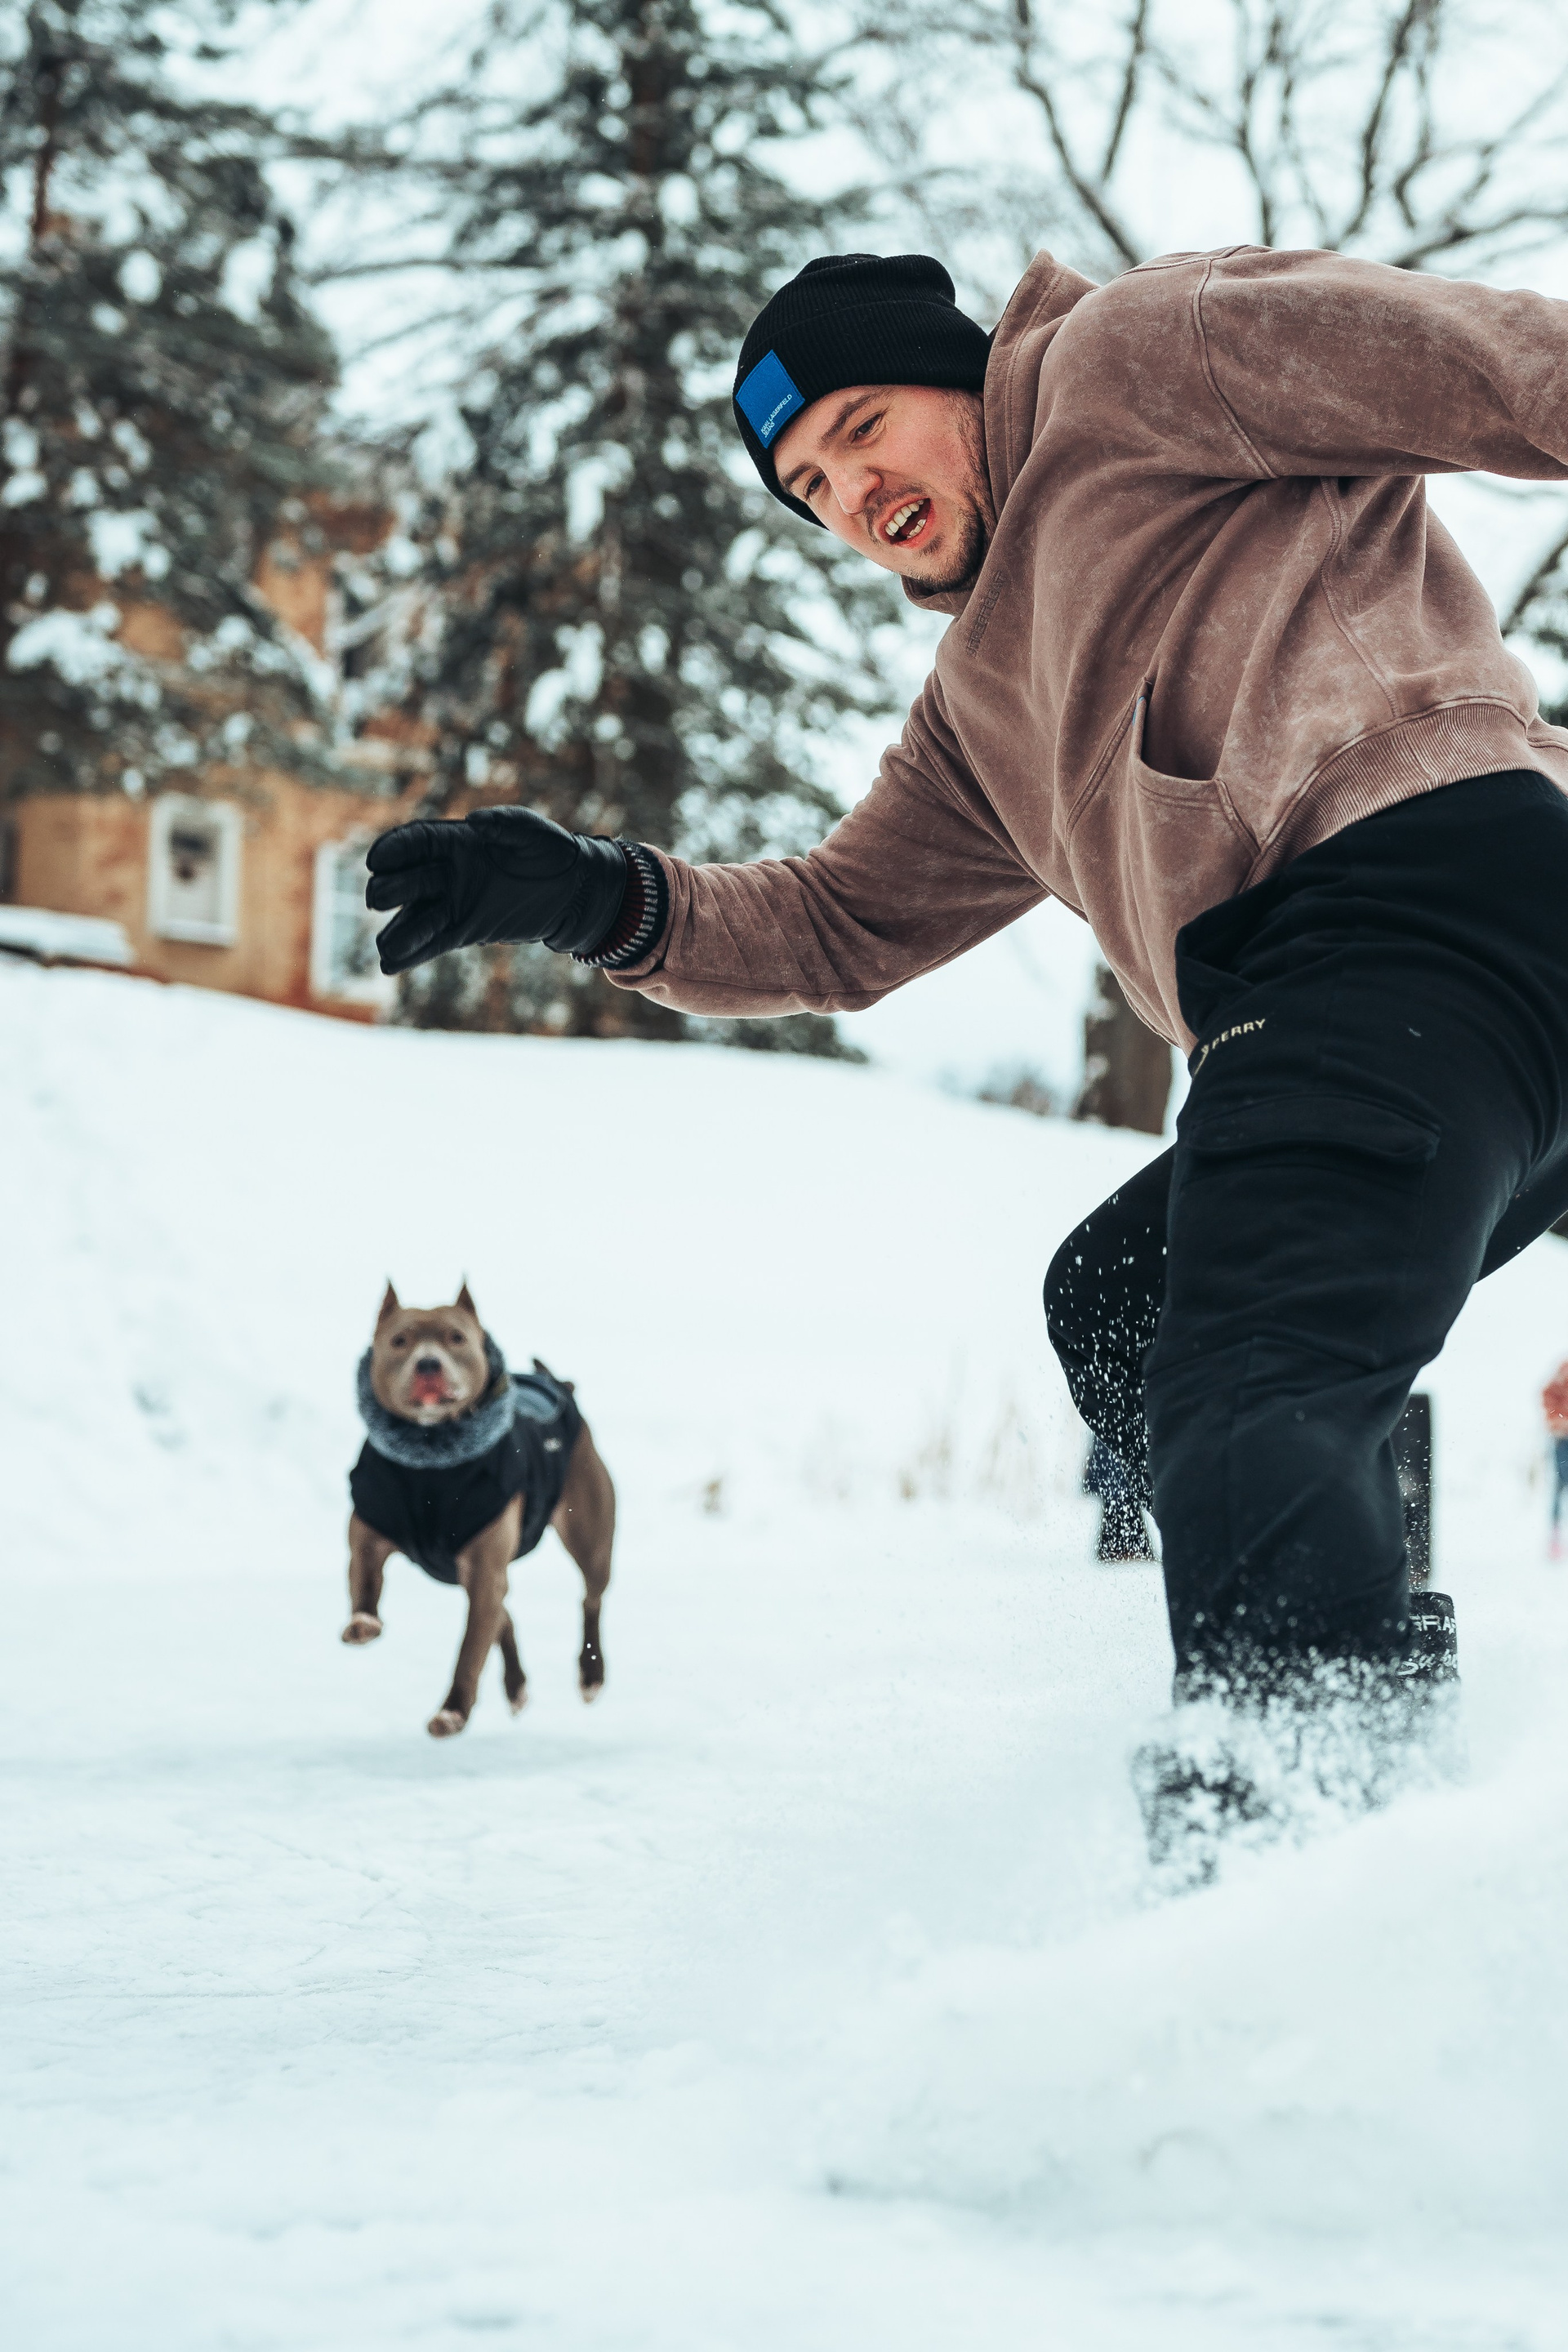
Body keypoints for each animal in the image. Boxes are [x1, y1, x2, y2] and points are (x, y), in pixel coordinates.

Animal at [341, 1283, 614, 1736]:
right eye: (400, 1341)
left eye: (456, 1338)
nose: (428, 1363)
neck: (429, 1463)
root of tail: (551, 1381)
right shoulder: (370, 1530)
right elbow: (363, 1579)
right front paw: (364, 1623)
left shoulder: (485, 1567)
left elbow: (469, 1651)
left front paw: (452, 1712)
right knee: (505, 1615)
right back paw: (516, 1686)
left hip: (589, 1537)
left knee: (589, 1599)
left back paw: (591, 1675)